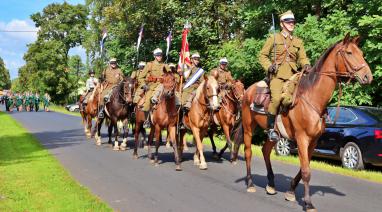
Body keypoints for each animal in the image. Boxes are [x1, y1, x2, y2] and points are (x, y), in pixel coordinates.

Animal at [233, 34, 374, 211]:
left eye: (361, 53)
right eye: (349, 53)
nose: (368, 76)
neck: (312, 98)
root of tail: (248, 91)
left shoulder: (313, 141)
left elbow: (303, 168)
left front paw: (290, 192)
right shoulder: (301, 138)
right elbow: (306, 171)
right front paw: (308, 203)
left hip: (274, 134)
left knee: (265, 151)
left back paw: (271, 185)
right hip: (248, 127)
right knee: (248, 152)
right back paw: (250, 183)